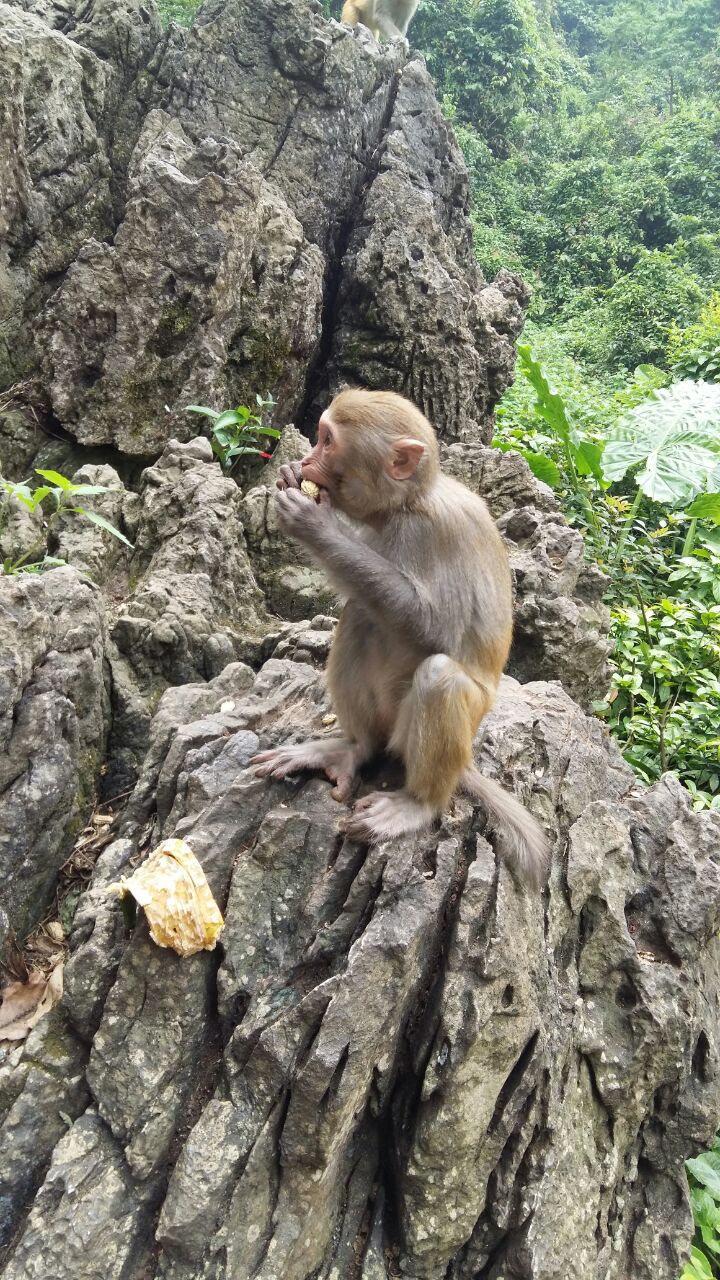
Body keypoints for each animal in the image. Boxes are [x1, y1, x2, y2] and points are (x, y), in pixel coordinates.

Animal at [249, 386, 545, 890]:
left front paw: (314, 524)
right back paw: (352, 749)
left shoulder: (439, 531)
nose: (306, 458)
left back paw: (418, 804)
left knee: (439, 674)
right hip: (388, 727)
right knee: (360, 615)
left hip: (433, 733)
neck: (403, 508)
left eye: (327, 441)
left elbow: (436, 630)